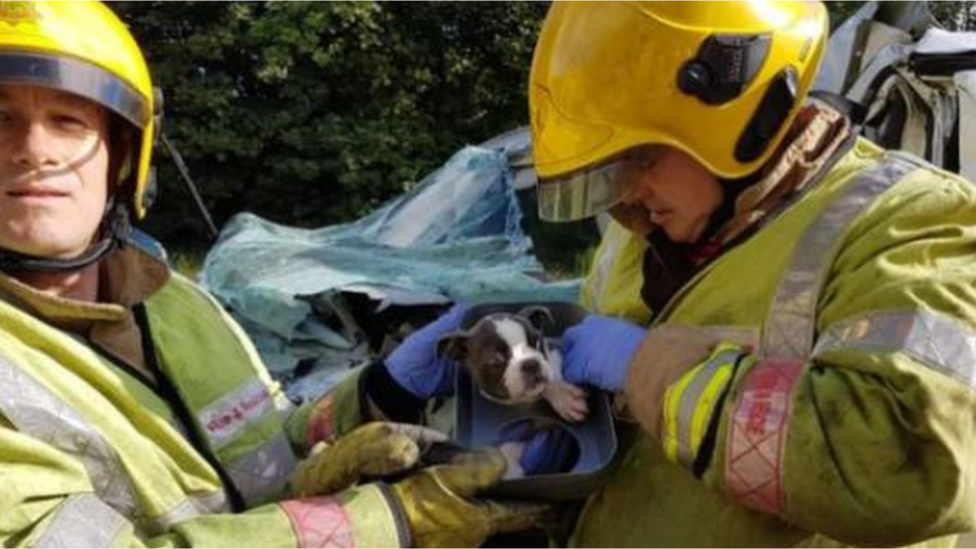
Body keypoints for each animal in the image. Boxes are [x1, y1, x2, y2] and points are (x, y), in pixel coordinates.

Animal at [440, 306, 592, 422]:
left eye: (537, 342)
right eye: (496, 359)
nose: (530, 363)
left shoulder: (554, 352)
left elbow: (550, 377)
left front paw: (563, 396)